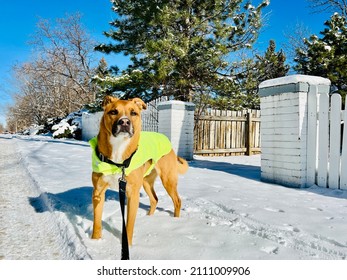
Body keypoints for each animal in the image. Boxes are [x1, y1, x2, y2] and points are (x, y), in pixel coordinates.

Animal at [89, 96, 188, 245]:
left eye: (133, 113)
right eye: (113, 112)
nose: (124, 121)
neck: (118, 149)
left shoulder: (132, 194)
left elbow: (129, 224)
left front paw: (128, 244)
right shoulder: (98, 192)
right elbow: (96, 222)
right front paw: (95, 242)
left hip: (168, 179)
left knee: (177, 200)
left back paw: (176, 221)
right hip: (146, 181)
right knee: (154, 199)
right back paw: (149, 218)